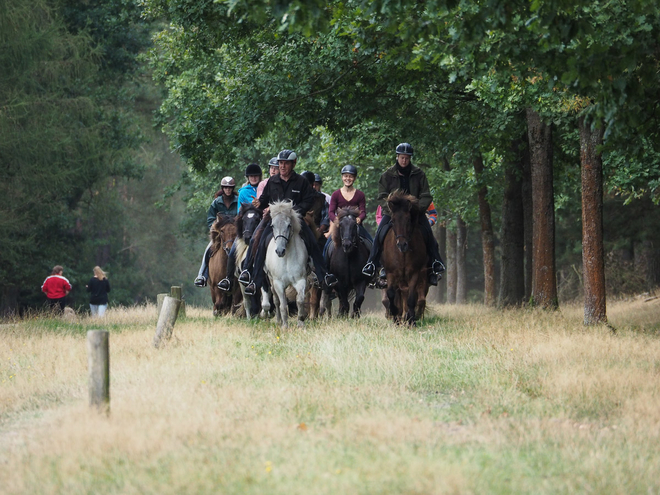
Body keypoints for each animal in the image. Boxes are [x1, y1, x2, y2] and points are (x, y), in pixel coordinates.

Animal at [260, 200, 308, 328]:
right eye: (272, 225)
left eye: (289, 225)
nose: (280, 251)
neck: (286, 259)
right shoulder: (278, 283)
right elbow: (282, 305)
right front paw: (285, 326)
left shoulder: (300, 281)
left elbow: (300, 301)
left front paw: (301, 322)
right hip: (271, 281)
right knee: (276, 301)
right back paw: (278, 321)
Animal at [378, 191, 430, 326]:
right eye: (392, 221)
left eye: (408, 220)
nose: (402, 245)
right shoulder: (391, 274)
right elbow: (391, 295)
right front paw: (395, 316)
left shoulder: (415, 273)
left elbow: (412, 298)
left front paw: (412, 320)